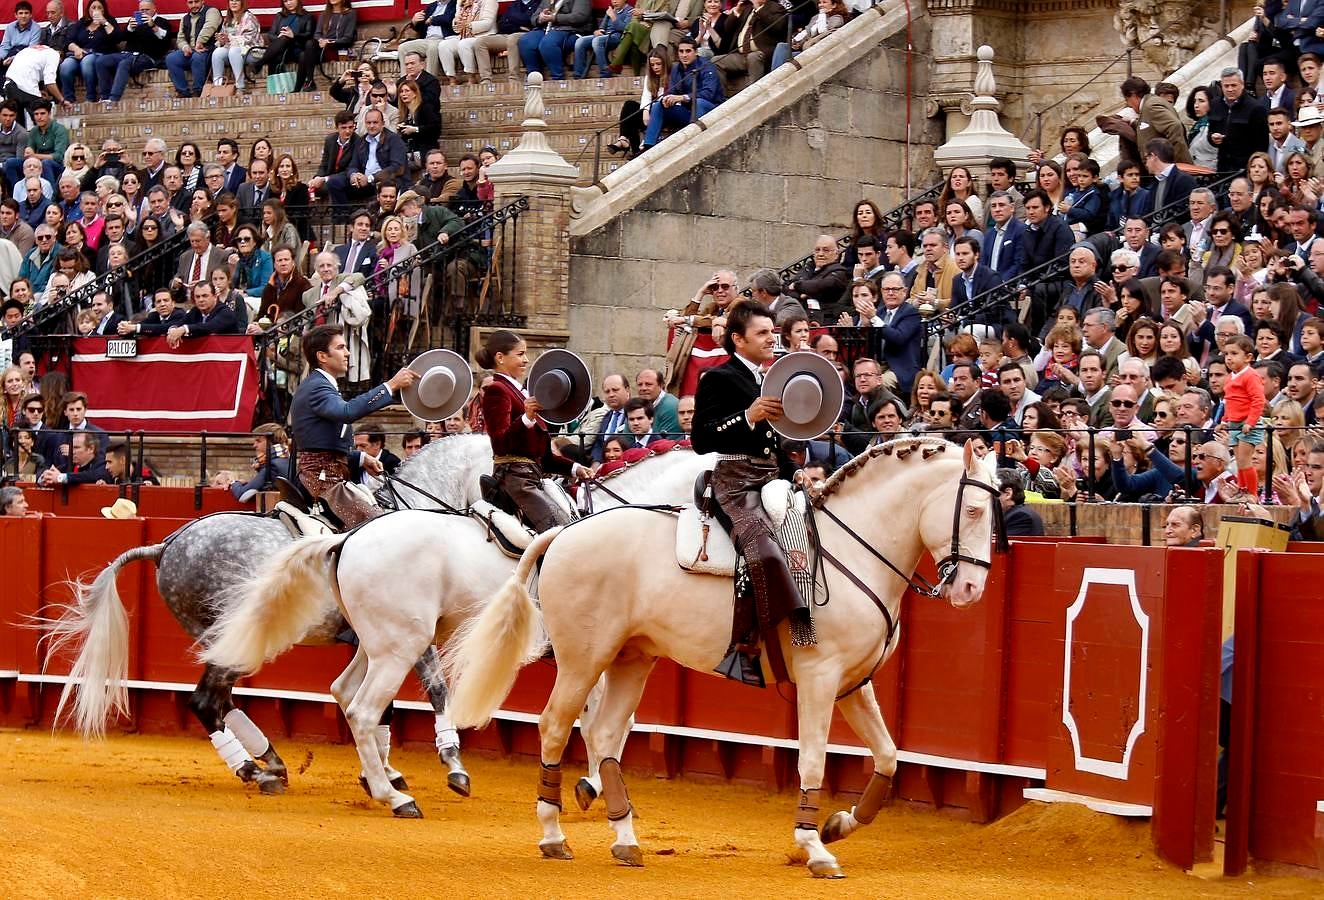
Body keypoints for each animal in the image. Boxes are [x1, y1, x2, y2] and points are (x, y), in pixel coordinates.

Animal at [199, 442, 714, 815]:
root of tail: (346, 539)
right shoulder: (591, 654)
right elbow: (607, 718)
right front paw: (591, 785)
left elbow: (605, 718)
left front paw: (591, 786)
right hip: (399, 647)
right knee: (361, 709)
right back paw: (394, 797)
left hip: (376, 643)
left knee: (342, 693)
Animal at [439, 439, 995, 873]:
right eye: (973, 510)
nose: (970, 589)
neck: (851, 548)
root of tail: (567, 531)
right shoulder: (819, 678)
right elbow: (813, 759)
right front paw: (814, 848)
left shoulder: (854, 683)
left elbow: (888, 756)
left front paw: (839, 825)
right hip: (582, 659)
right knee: (555, 726)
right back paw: (554, 836)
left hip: (632, 658)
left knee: (605, 735)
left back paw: (626, 841)